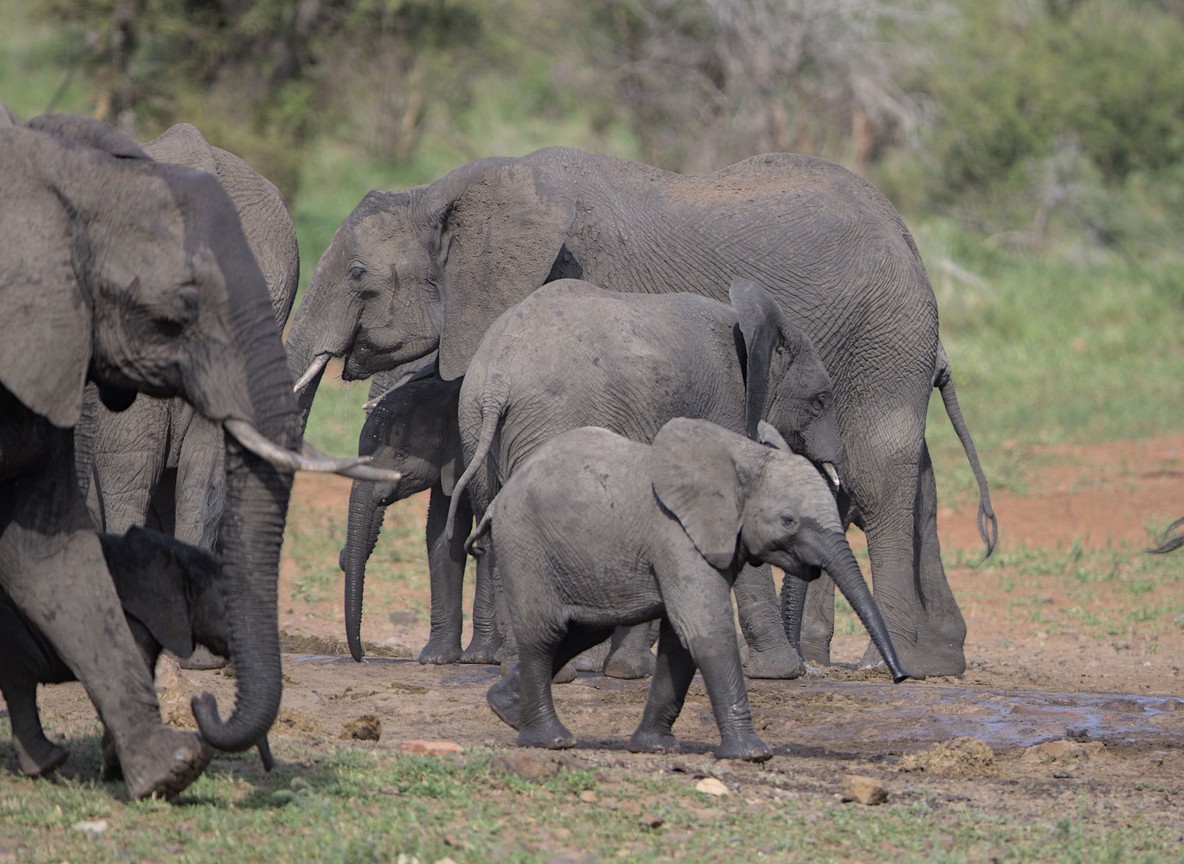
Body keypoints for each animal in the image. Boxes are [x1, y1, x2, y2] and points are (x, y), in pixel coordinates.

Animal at [0, 526, 271, 780]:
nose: (204, 699)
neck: (175, 555)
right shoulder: (127, 619)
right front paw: (118, 773)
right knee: (21, 676)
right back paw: (51, 762)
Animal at [448, 276, 842, 680]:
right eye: (820, 401)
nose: (806, 668)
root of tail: (498, 376)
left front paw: (628, 669)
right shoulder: (724, 406)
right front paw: (782, 672)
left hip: (473, 421)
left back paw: (526, 668)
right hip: (549, 420)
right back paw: (559, 672)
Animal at [469, 418, 909, 760]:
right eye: (788, 520)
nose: (901, 678)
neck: (743, 458)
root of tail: (498, 501)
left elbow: (681, 644)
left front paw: (656, 748)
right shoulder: (677, 536)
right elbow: (705, 628)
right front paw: (753, 754)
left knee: (579, 630)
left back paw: (504, 710)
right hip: (525, 543)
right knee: (545, 634)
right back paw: (550, 740)